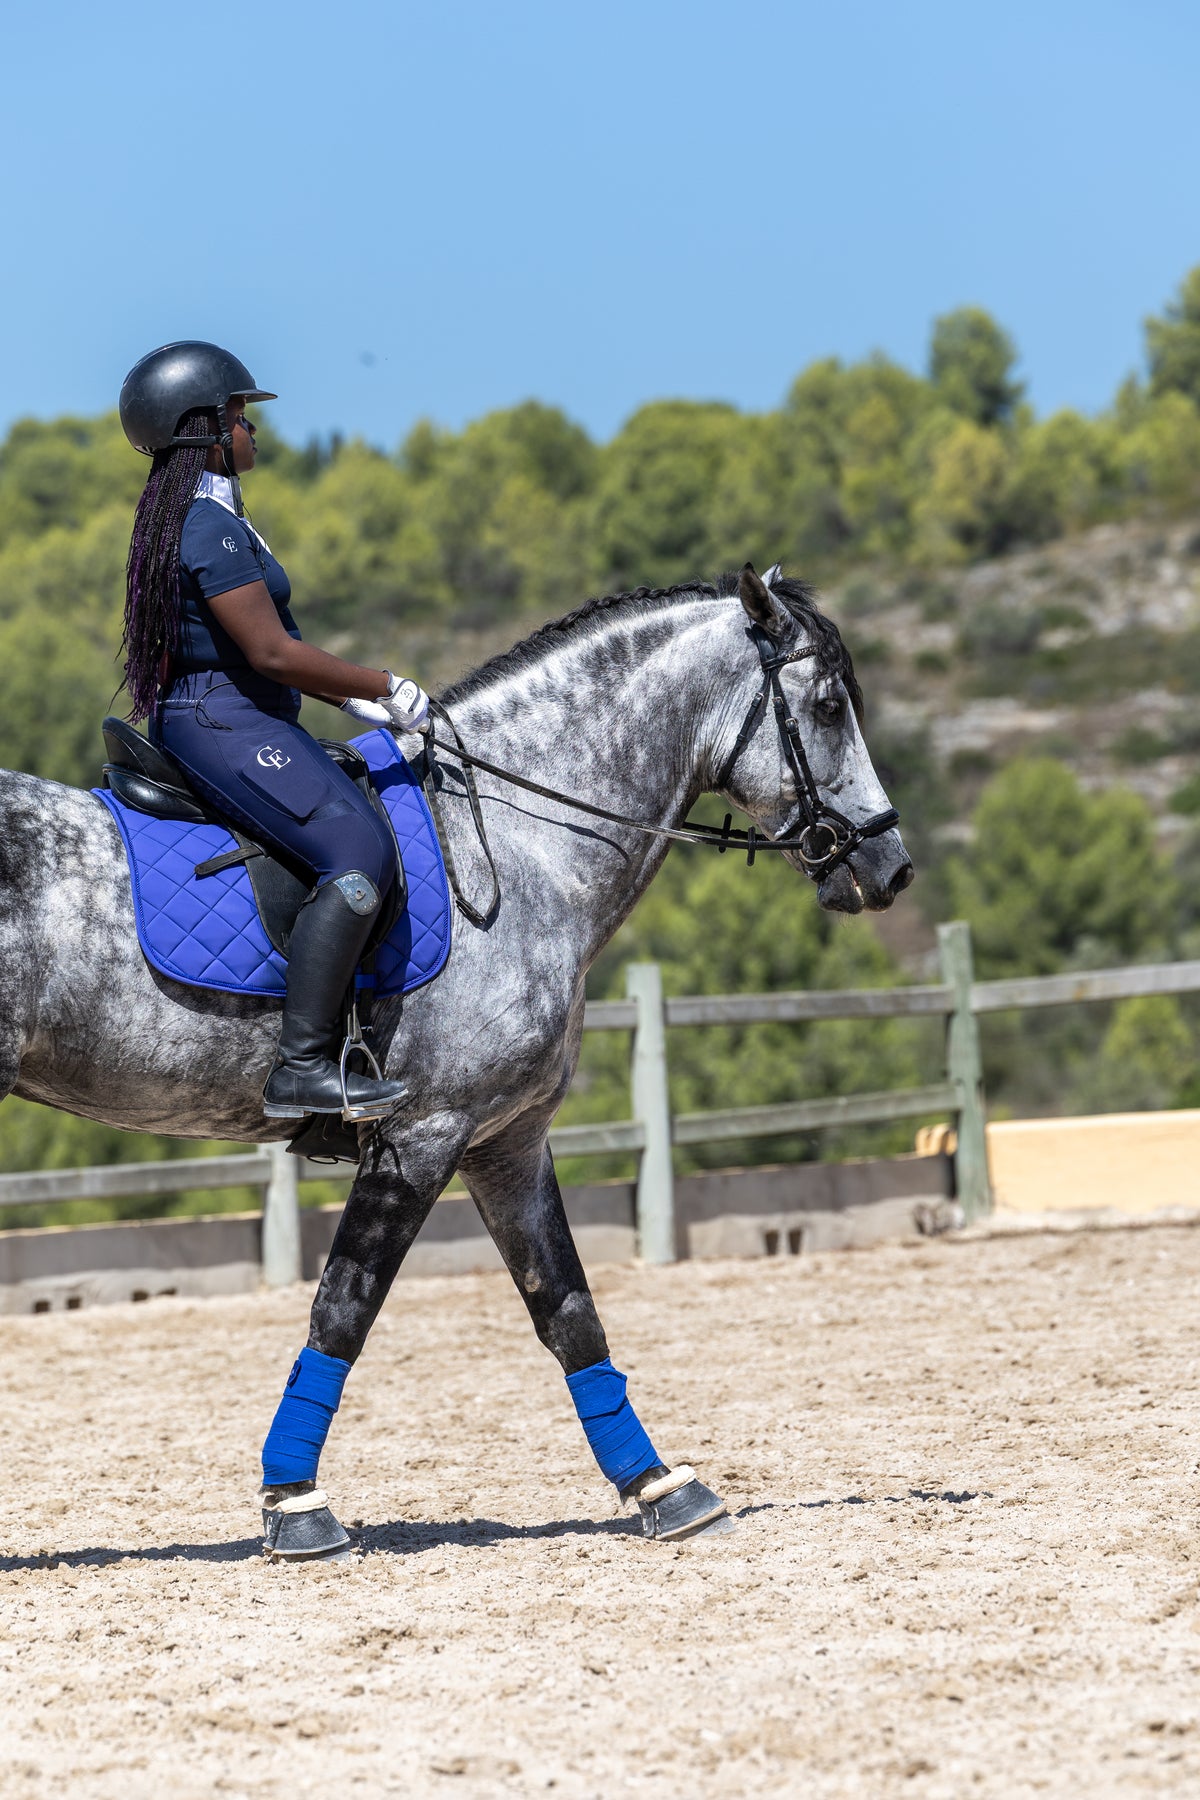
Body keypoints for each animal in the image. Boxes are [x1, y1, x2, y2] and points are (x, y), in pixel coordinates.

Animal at [0, 564, 912, 1553]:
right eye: (828, 704)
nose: (890, 869)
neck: (529, 844)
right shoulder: (422, 1134)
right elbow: (343, 1309)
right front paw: (297, 1504)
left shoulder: (506, 1141)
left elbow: (568, 1311)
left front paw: (663, 1488)